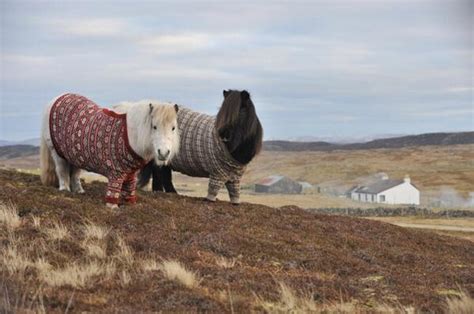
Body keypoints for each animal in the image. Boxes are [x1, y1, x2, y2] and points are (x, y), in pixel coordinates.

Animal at [40, 92, 180, 207]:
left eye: (173, 128)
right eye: (154, 126)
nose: (164, 153)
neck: (130, 134)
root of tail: (56, 99)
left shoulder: (131, 173)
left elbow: (129, 190)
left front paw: (129, 204)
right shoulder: (115, 172)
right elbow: (114, 191)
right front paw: (113, 207)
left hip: (74, 155)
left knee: (75, 173)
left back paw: (79, 191)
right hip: (57, 153)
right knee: (62, 170)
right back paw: (65, 190)